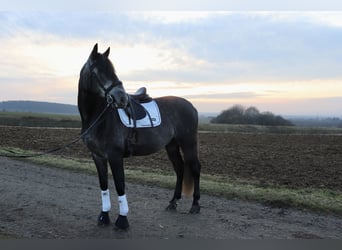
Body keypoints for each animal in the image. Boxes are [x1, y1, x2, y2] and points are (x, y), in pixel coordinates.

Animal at [77, 44, 200, 229]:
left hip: (189, 143)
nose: (122, 98)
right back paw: (173, 202)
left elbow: (120, 185)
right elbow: (103, 185)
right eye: (98, 71)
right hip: (171, 145)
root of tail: (191, 106)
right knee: (179, 168)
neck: (98, 117)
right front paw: (104, 216)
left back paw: (195, 205)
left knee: (195, 168)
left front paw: (122, 220)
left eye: (113, 70)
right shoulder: (97, 156)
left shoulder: (114, 156)